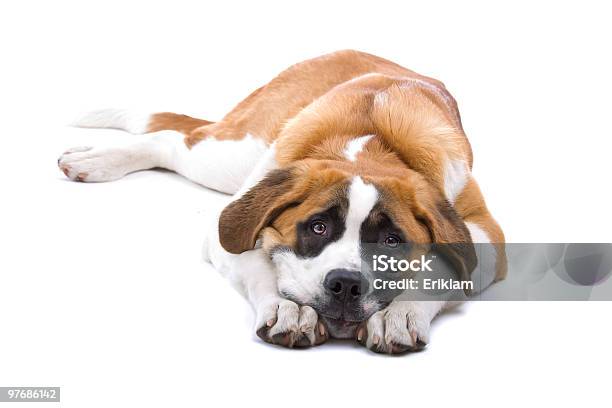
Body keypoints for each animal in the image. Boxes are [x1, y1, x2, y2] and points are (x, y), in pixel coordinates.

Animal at [58, 49, 506, 352]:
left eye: (391, 242)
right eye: (318, 227)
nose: (346, 284)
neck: (371, 148)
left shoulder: (484, 232)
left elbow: (445, 266)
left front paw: (400, 313)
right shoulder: (232, 222)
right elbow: (256, 261)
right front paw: (287, 310)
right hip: (233, 152)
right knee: (171, 141)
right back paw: (98, 160)